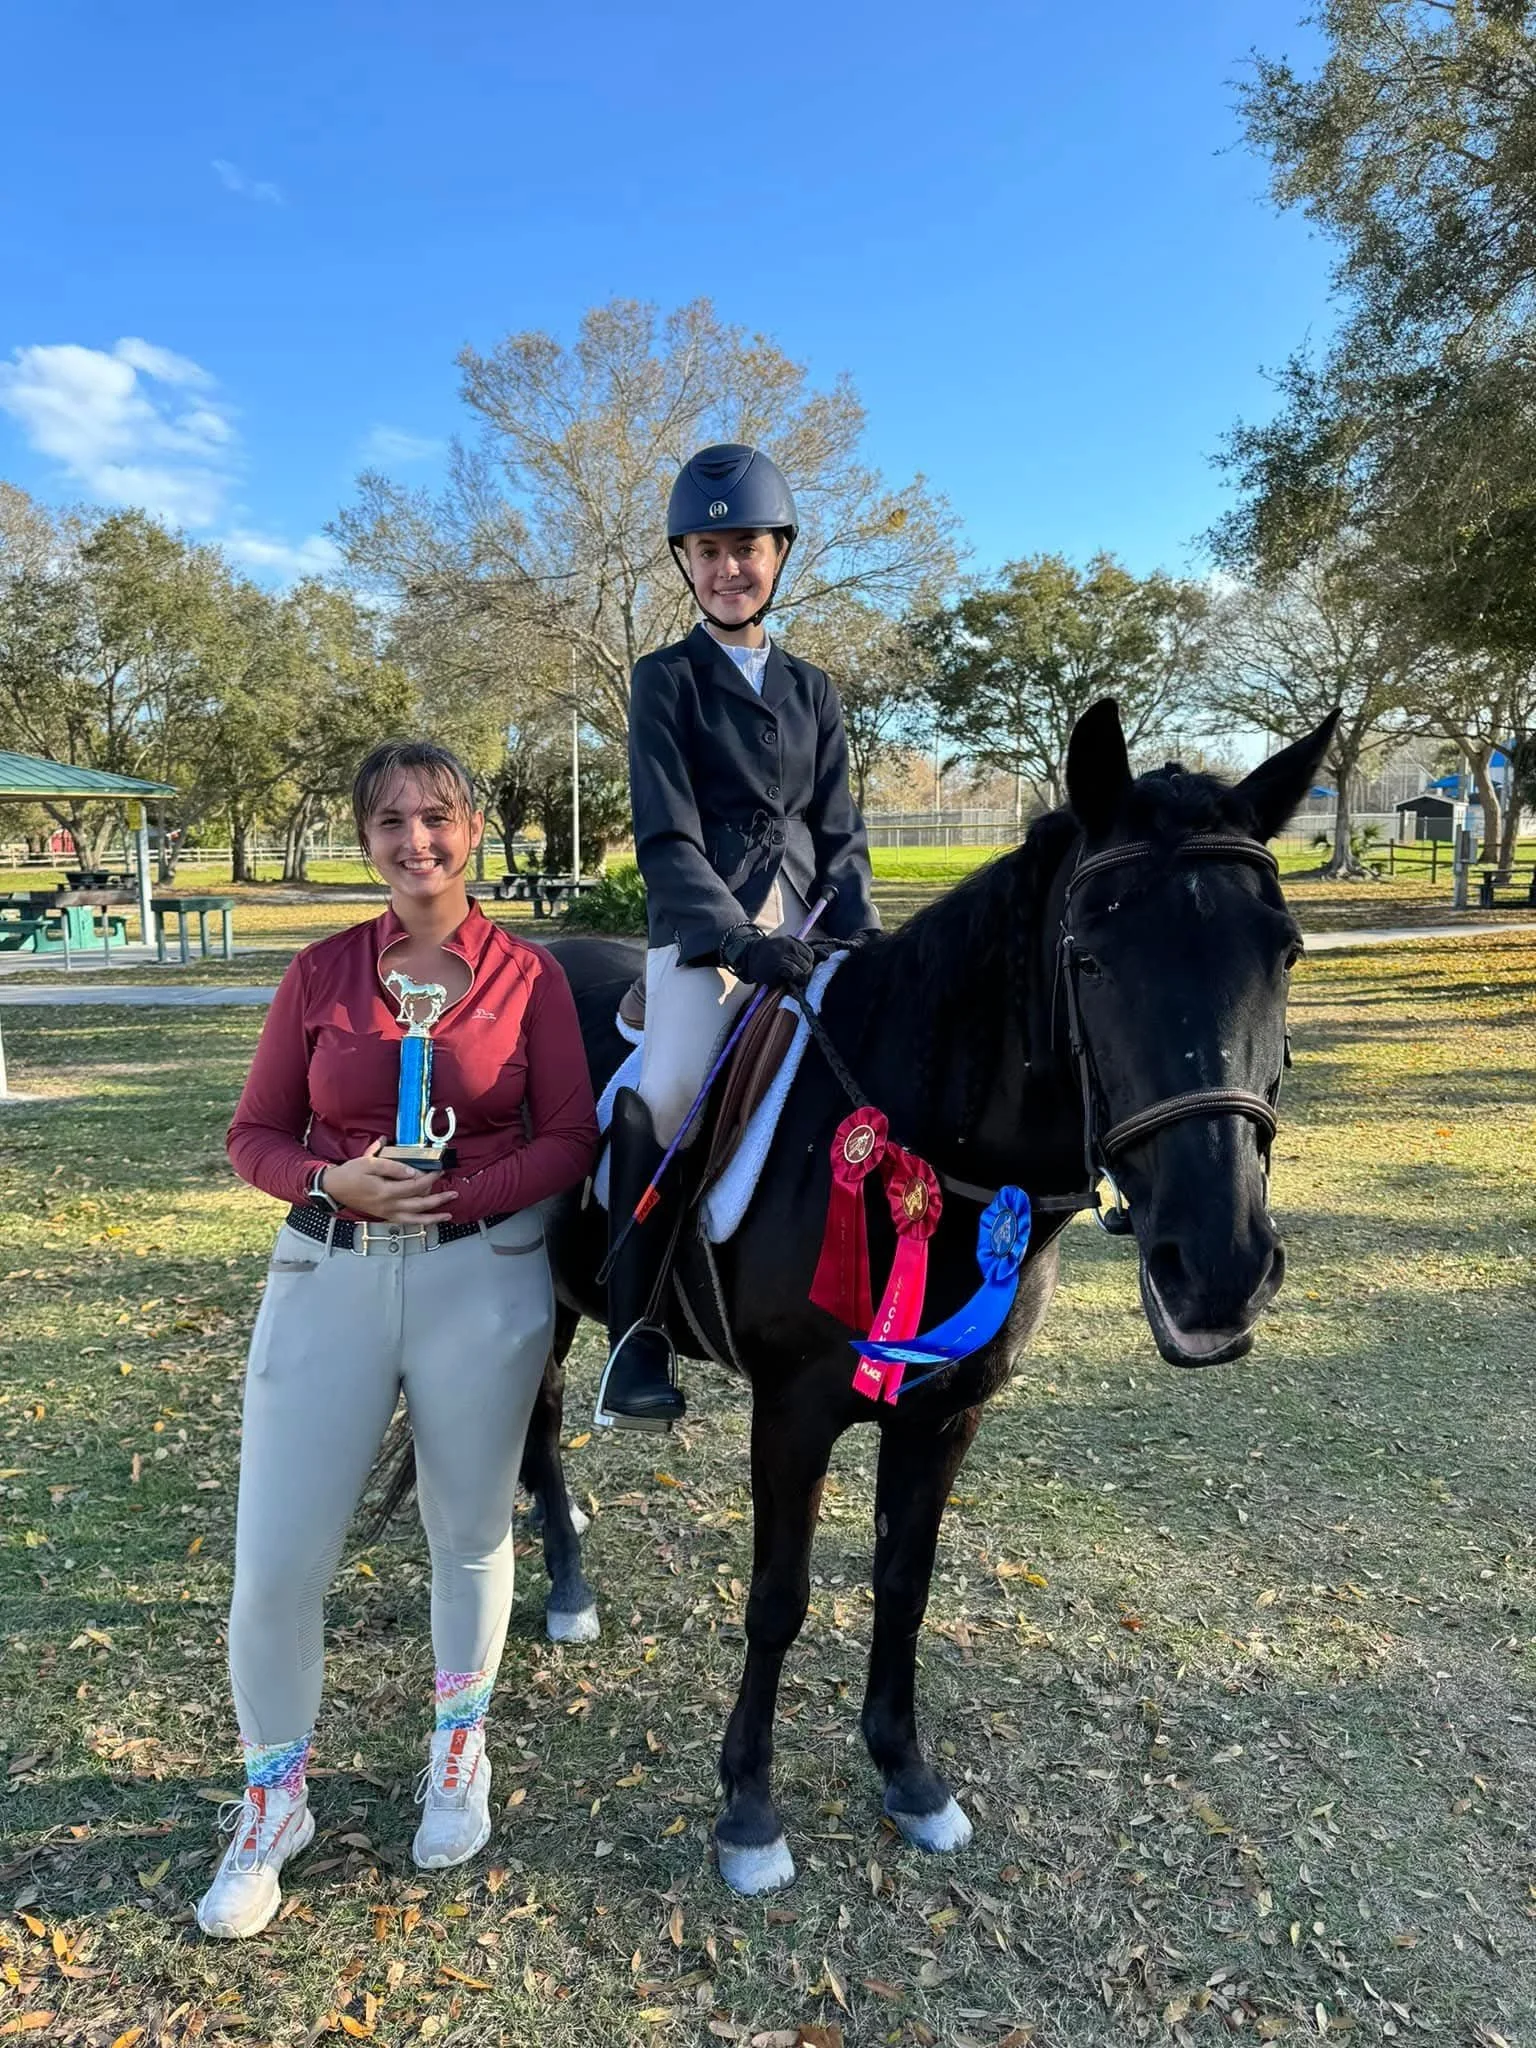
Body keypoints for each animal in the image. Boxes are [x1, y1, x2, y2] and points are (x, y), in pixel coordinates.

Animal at [487, 697, 1333, 1895]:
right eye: (1090, 957)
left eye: (1285, 952)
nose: (1217, 1270)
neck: (919, 1136)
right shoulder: (793, 1410)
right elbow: (780, 1597)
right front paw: (749, 1807)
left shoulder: (945, 1411)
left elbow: (904, 1580)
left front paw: (907, 1774)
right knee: (543, 1419)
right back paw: (563, 1586)